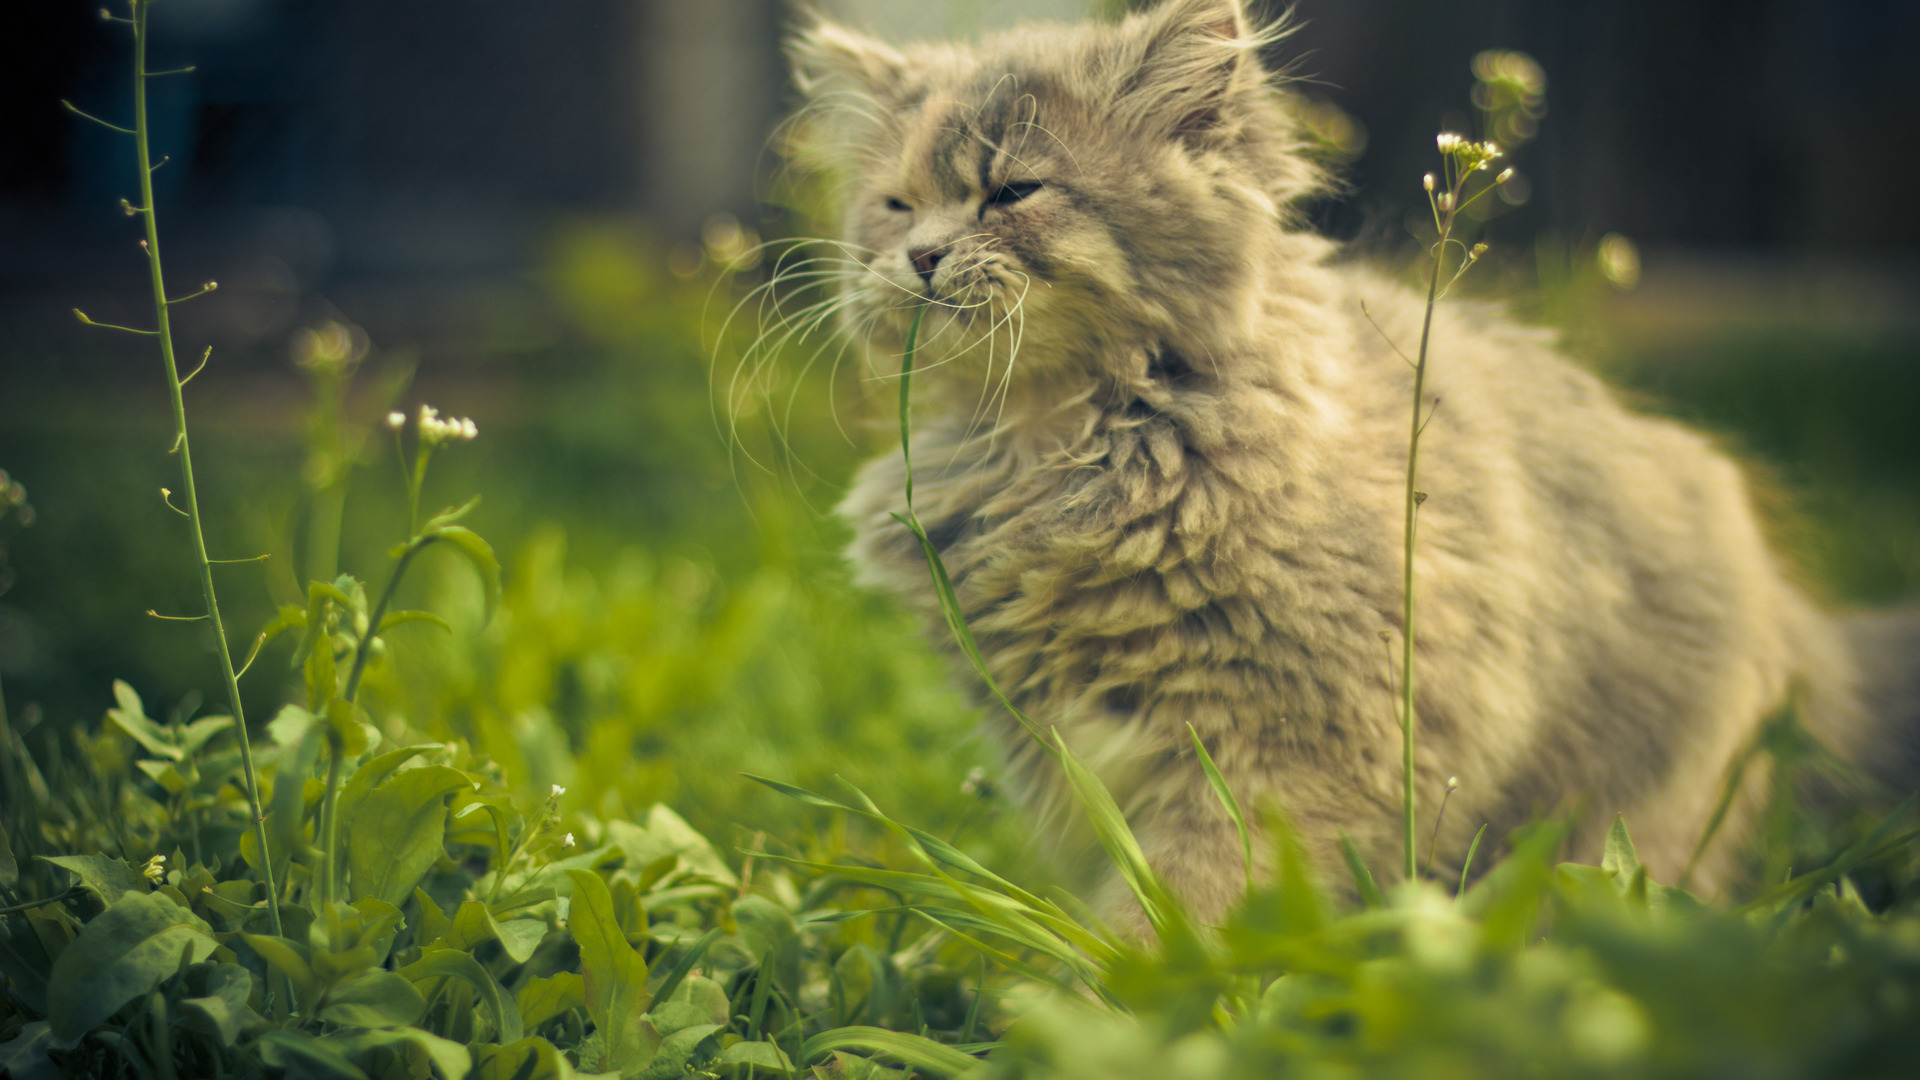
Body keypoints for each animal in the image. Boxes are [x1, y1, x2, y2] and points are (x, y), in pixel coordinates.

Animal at [771, 0, 1912, 926]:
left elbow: (1186, 906)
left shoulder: (1289, 745)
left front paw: (1117, 1006)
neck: (1056, 448)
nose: (918, 257)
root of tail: (1802, 626)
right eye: (896, 206)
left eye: (1012, 191)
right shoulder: (1067, 747)